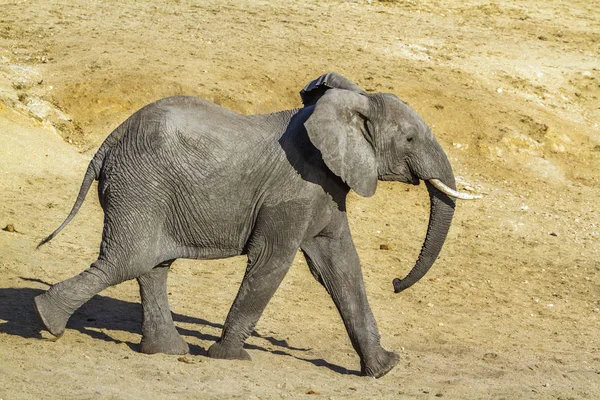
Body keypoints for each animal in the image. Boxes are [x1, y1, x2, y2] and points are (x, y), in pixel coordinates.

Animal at [36, 72, 478, 378]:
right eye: (410, 139)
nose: (397, 283)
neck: (347, 107)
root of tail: (108, 142)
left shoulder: (323, 189)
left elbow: (342, 267)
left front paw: (385, 369)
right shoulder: (293, 192)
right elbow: (273, 263)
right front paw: (229, 357)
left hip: (147, 192)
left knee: (151, 266)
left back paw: (166, 351)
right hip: (140, 186)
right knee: (126, 261)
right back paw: (46, 320)